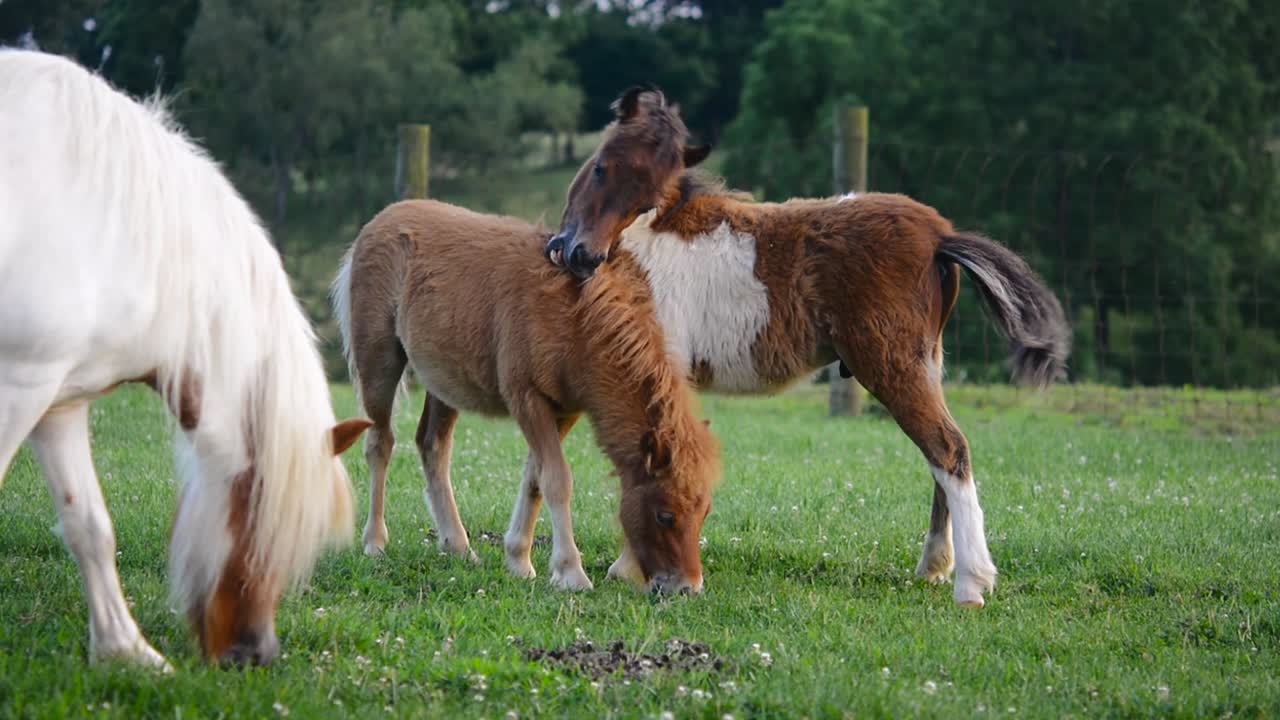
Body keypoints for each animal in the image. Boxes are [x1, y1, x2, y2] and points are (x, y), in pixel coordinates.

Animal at [0, 49, 371, 668]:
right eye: (258, 520)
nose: (255, 652)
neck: (106, 229)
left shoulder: (55, 403)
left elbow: (89, 525)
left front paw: (126, 651)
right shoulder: (17, 387)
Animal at [330, 199, 720, 594]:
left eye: (704, 511)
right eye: (665, 515)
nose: (688, 588)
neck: (574, 321)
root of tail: (379, 222)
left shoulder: (566, 410)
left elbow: (535, 478)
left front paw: (519, 560)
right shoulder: (527, 399)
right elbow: (556, 480)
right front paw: (570, 572)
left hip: (444, 380)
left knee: (433, 446)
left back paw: (458, 546)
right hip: (378, 361)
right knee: (380, 443)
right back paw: (375, 542)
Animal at [543, 87, 1071, 608]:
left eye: (643, 187)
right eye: (600, 167)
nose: (580, 254)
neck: (645, 240)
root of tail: (941, 236)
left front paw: (624, 567)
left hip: (893, 365)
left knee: (948, 450)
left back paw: (972, 584)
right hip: (927, 365)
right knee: (940, 457)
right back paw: (933, 568)